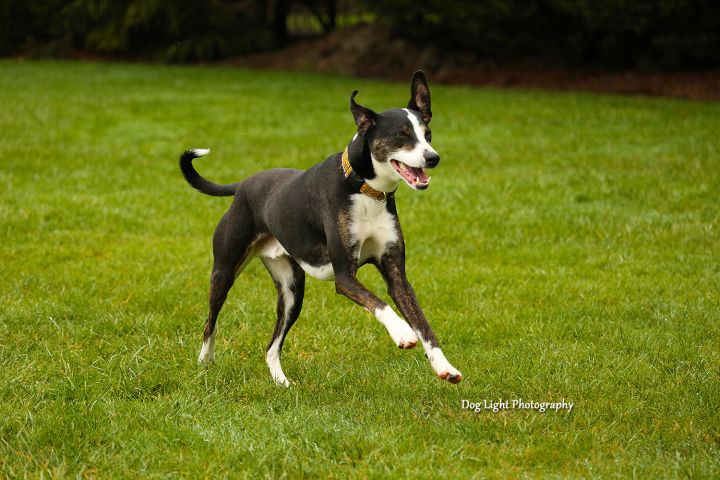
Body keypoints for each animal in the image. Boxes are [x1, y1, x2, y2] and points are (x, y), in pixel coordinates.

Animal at [179, 72, 462, 386]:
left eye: (428, 134)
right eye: (401, 135)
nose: (433, 158)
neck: (366, 190)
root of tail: (243, 185)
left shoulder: (396, 276)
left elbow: (423, 323)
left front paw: (444, 366)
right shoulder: (345, 277)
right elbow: (379, 304)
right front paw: (402, 332)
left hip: (292, 290)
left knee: (272, 346)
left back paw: (281, 382)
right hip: (224, 272)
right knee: (210, 323)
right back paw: (205, 362)